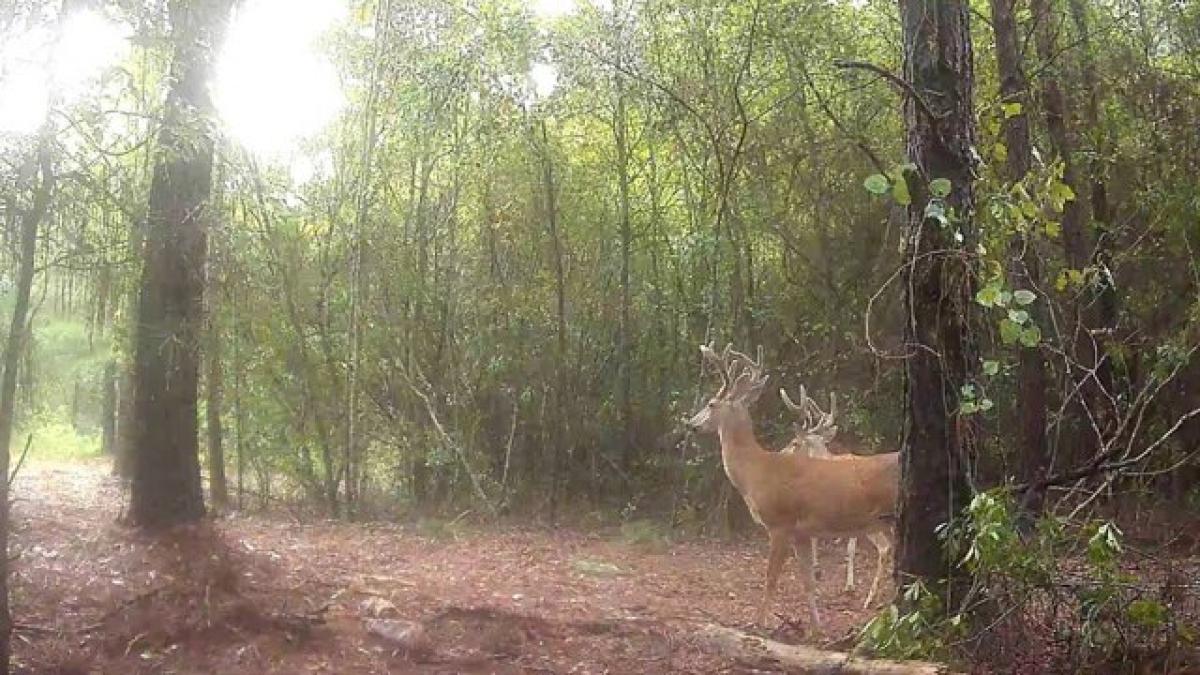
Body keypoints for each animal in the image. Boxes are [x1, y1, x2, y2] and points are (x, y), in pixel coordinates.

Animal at [772, 381, 897, 607]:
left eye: (794, 442)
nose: (780, 453)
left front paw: (817, 572)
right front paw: (846, 584)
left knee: (884, 548)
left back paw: (870, 599)